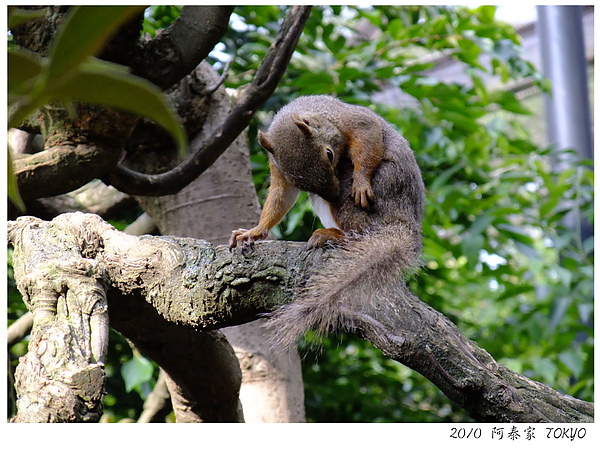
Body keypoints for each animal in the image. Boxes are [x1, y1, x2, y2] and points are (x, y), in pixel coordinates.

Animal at [230, 95, 426, 348]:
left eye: (330, 154)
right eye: (296, 181)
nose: (332, 194)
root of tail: (404, 220)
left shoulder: (352, 120)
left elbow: (368, 137)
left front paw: (361, 181)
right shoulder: (276, 167)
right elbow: (280, 197)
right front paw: (255, 231)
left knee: (361, 231)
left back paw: (334, 234)